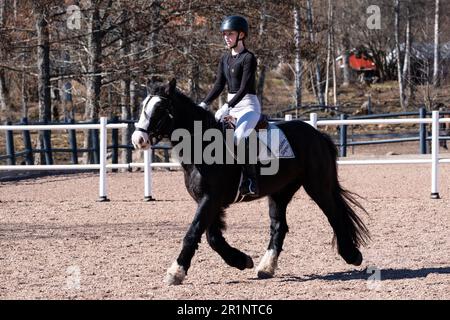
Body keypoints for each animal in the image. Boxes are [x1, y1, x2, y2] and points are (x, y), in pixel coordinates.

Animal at [131, 79, 370, 284]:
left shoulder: (210, 199)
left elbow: (194, 232)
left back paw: (352, 255)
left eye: (160, 109)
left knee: (334, 215)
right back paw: (266, 268)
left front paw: (176, 272)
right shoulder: (207, 201)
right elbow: (212, 237)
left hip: (318, 186)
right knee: (279, 226)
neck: (203, 146)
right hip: (280, 193)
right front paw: (241, 260)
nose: (138, 139)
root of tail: (318, 135)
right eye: (143, 106)